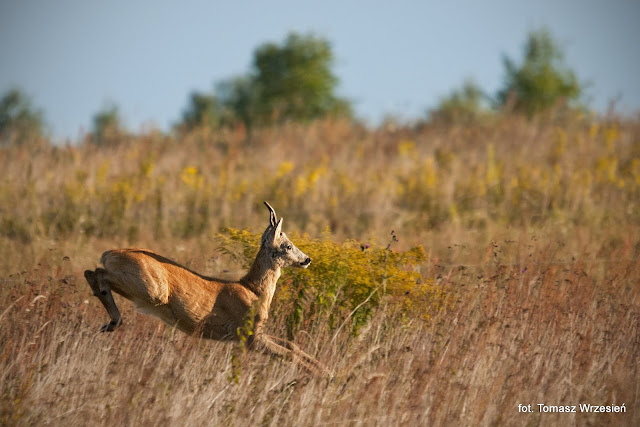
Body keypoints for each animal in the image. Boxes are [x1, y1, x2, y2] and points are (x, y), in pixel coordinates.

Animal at [84, 202, 330, 372]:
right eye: (287, 245)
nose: (307, 259)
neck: (252, 290)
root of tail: (108, 253)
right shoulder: (249, 336)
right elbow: (289, 354)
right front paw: (323, 376)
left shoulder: (254, 333)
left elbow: (292, 345)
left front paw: (327, 371)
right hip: (152, 290)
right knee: (96, 273)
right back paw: (114, 322)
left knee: (92, 272)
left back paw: (110, 324)